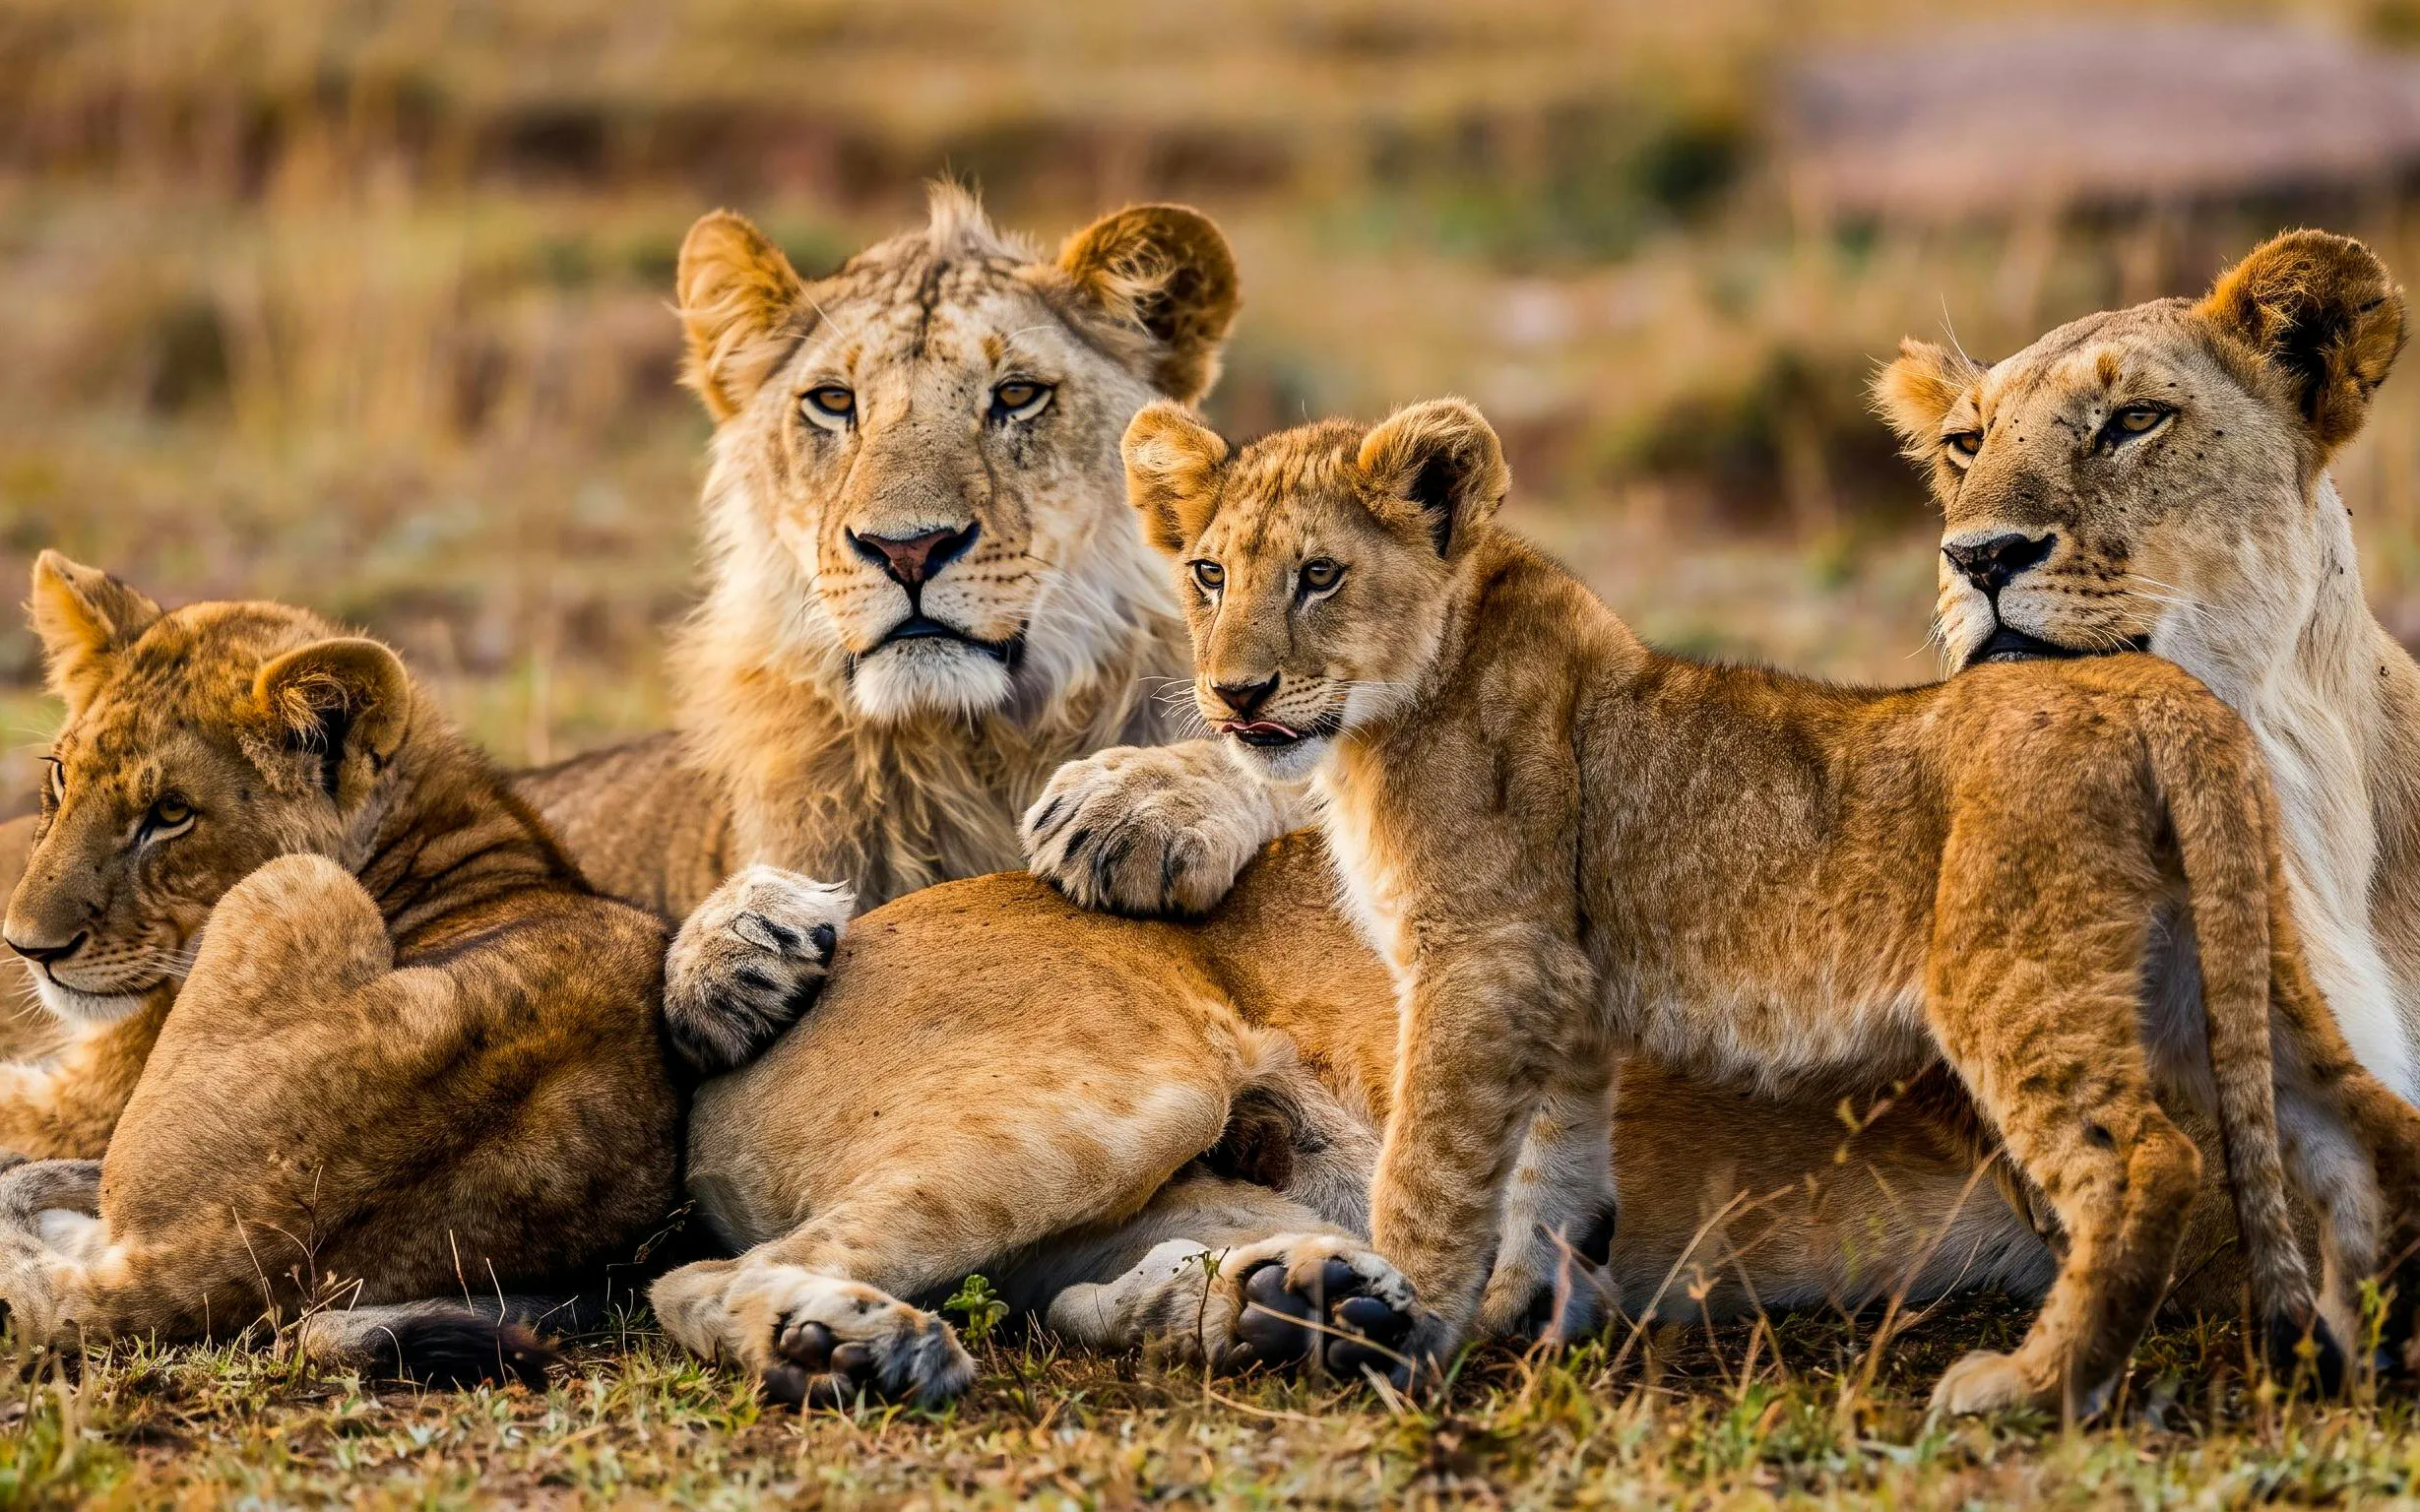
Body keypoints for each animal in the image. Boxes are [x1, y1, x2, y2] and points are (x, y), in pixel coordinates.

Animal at [1118, 394, 2420, 1414]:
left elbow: (1432, 1168)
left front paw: (1401, 1327)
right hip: (2232, 969)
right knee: (2359, 1126)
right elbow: (1553, 1168)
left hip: (2012, 974)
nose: (1234, 696)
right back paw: (2366, 1356)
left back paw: (2027, 1388)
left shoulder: (1480, 962)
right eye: (1209, 575)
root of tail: (2160, 692)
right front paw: (1521, 1316)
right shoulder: (1559, 987)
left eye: (1319, 577)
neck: (1395, 708)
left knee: (2142, 1162)